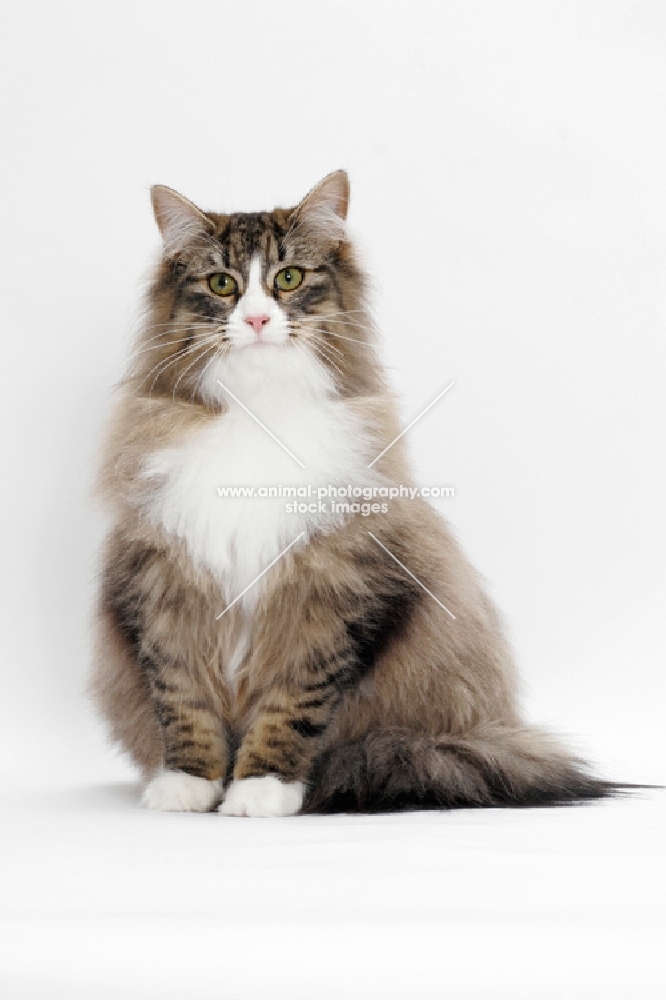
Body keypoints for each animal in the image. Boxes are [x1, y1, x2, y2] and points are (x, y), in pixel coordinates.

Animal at [91, 170, 608, 812]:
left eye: (288, 279)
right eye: (222, 284)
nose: (257, 320)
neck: (260, 412)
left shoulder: (334, 590)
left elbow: (291, 706)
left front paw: (259, 790)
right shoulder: (165, 585)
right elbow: (183, 701)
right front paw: (189, 784)